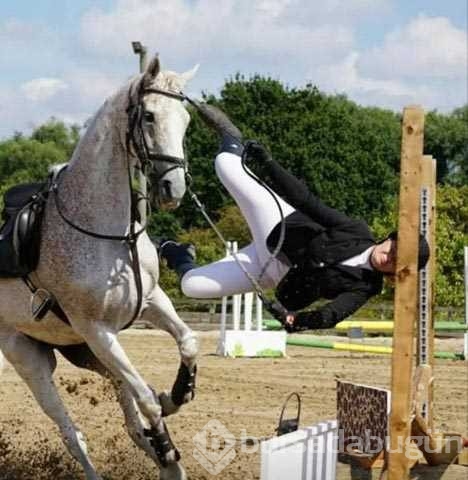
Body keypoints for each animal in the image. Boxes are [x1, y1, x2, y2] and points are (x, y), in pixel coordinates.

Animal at [0, 57, 199, 480]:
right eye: (149, 116)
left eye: (186, 119)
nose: (173, 189)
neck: (113, 234)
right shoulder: (98, 330)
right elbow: (146, 401)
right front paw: (167, 434)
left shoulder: (151, 302)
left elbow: (188, 343)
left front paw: (177, 394)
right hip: (29, 357)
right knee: (74, 436)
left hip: (80, 352)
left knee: (131, 423)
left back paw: (165, 460)